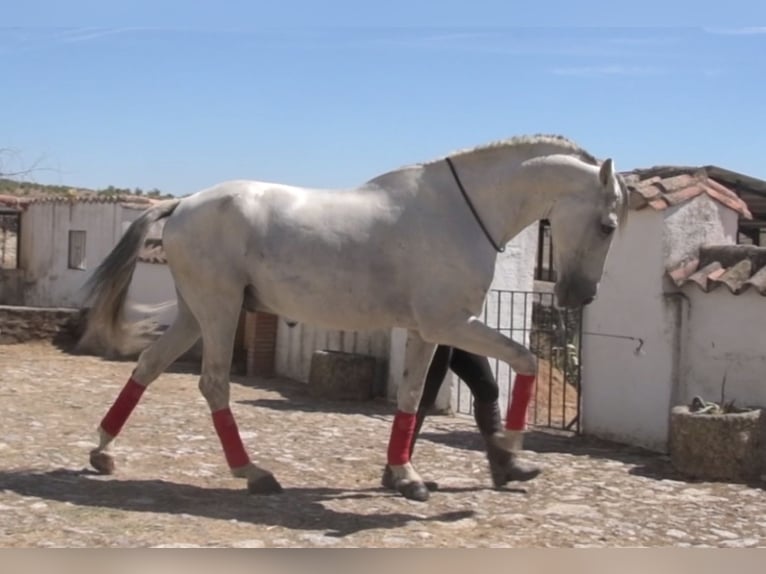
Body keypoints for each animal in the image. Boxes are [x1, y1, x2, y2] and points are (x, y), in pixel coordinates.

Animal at [82, 134, 628, 502]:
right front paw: (512, 455)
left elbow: (413, 395)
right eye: (608, 225)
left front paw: (407, 476)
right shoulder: (449, 325)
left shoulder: (427, 331)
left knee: (149, 365)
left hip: (196, 313)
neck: (461, 213)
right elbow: (525, 360)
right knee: (213, 383)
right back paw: (254, 473)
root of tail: (183, 204)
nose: (580, 295)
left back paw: (103, 451)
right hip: (219, 309)